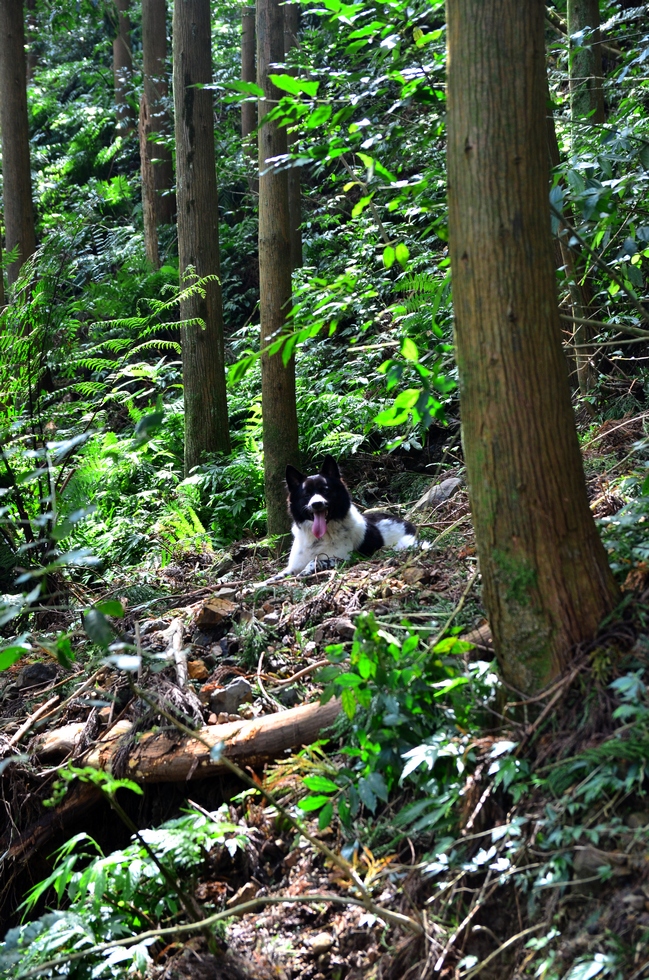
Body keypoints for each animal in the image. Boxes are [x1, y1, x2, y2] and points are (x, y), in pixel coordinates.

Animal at [278, 456, 416, 580]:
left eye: (325, 491)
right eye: (306, 494)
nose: (316, 504)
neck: (319, 539)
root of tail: (407, 523)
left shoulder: (346, 558)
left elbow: (316, 561)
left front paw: (307, 570)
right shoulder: (294, 565)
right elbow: (281, 574)